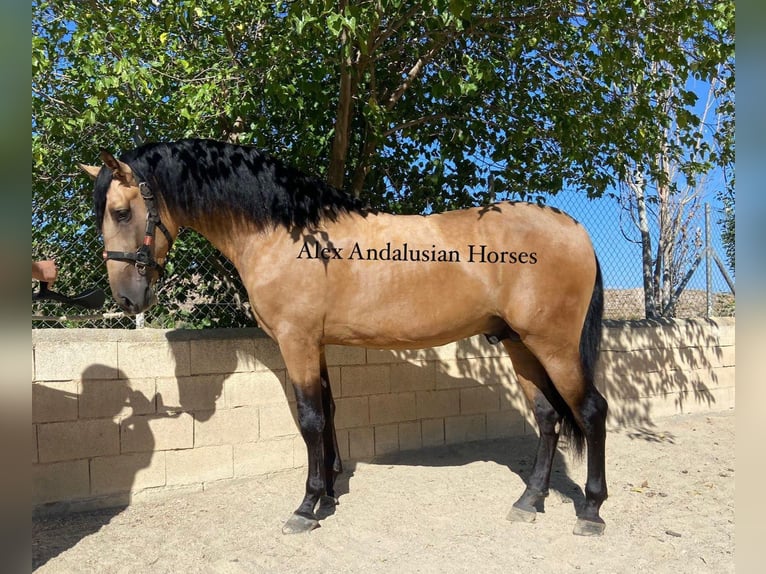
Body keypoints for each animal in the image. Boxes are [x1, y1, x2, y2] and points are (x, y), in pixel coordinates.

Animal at [81, 140, 608, 540]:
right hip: (520, 343)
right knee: (547, 417)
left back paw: (591, 511)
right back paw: (529, 501)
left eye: (122, 212)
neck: (286, 232)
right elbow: (329, 412)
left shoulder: (296, 341)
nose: (127, 299)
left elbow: (310, 418)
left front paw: (307, 505)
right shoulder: (315, 344)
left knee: (591, 411)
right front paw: (330, 495)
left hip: (554, 345)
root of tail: (575, 229)